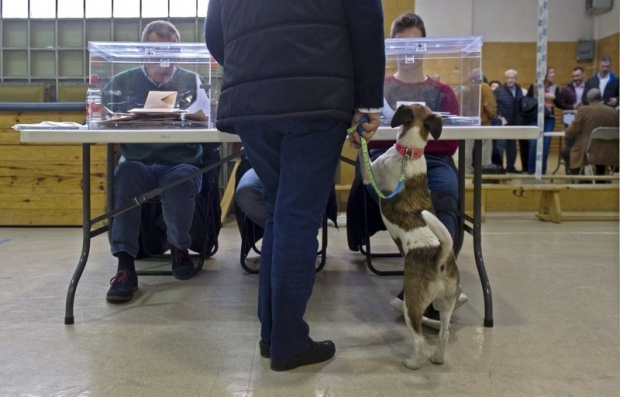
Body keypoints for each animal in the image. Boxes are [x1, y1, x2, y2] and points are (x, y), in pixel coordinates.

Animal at [358, 103, 460, 368]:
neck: (409, 153)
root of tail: (439, 258)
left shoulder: (369, 174)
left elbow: (362, 159)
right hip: (445, 303)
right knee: (444, 333)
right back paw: (437, 358)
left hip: (412, 304)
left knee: (419, 338)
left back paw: (412, 362)